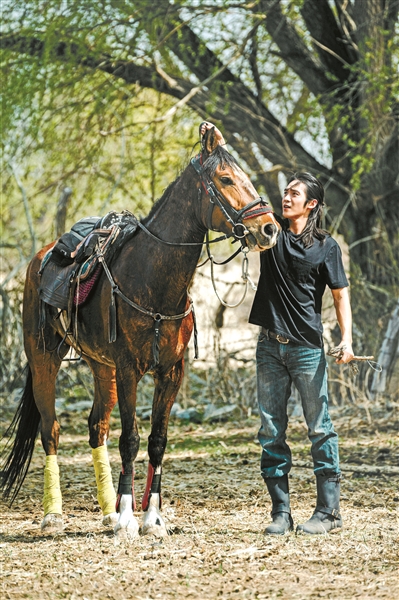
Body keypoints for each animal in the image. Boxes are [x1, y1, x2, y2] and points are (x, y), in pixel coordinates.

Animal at [0, 126, 282, 540]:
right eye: (226, 179)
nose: (269, 229)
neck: (153, 279)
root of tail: (44, 254)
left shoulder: (171, 372)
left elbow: (157, 441)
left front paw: (151, 517)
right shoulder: (130, 369)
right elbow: (130, 440)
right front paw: (129, 519)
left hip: (101, 367)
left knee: (96, 427)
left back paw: (106, 510)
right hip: (44, 358)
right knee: (51, 430)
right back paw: (55, 514)